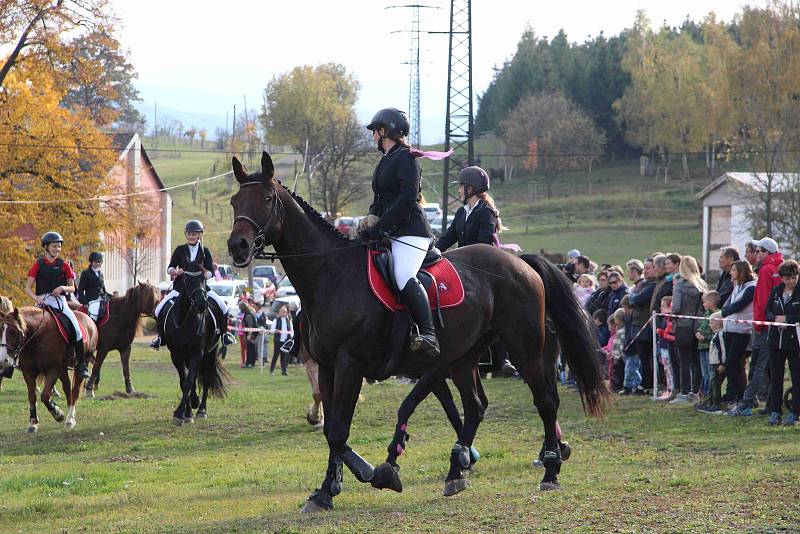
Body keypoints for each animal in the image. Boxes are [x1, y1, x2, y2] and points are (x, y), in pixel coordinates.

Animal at [0, 304, 97, 434]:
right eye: (0, 331)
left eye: (14, 332)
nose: (3, 361)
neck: (38, 336)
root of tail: (89, 320)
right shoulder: (29, 372)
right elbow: (32, 396)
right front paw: (33, 423)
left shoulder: (53, 370)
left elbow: (45, 396)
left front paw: (57, 413)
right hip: (63, 370)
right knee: (67, 388)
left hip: (81, 363)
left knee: (75, 391)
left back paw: (70, 419)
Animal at [225, 153, 608, 512]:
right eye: (234, 201)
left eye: (267, 199)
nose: (237, 247)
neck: (331, 274)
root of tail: (520, 263)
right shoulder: (331, 366)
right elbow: (335, 430)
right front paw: (333, 487)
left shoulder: (351, 363)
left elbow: (340, 429)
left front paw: (361, 477)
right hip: (463, 358)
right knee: (476, 407)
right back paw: (456, 472)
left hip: (524, 348)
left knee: (545, 401)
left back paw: (551, 469)